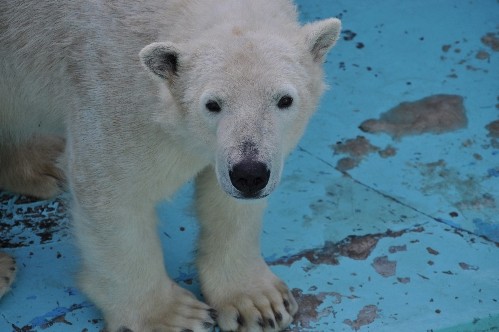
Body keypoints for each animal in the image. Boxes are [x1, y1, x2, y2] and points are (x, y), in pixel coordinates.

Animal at [0, 0, 340, 332]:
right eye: (212, 104)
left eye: (284, 100)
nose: (249, 174)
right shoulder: (109, 89)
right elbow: (115, 197)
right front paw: (172, 316)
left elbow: (227, 204)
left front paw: (259, 303)